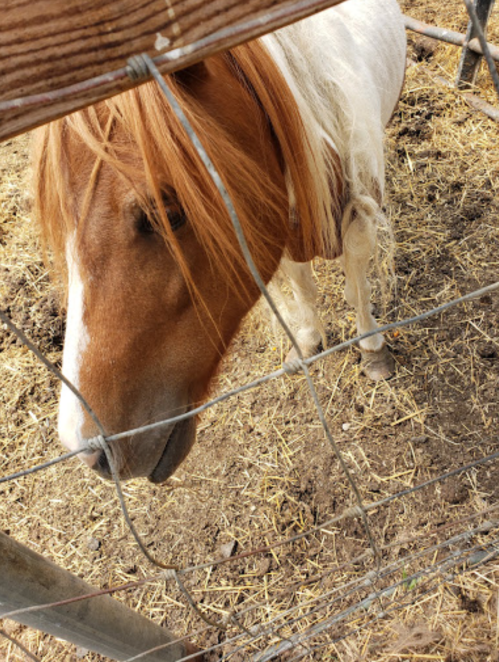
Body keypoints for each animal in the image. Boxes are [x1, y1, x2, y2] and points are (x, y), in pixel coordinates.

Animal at [32, 0, 406, 483]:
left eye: (167, 213)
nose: (90, 451)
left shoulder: (355, 218)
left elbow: (357, 288)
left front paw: (372, 349)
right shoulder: (278, 228)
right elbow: (302, 286)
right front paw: (306, 342)